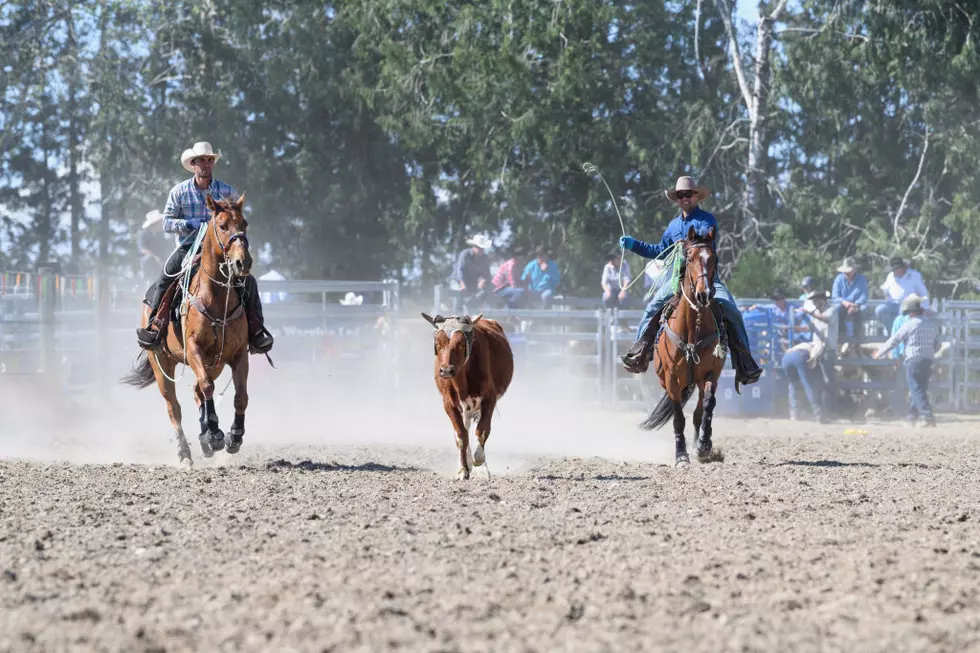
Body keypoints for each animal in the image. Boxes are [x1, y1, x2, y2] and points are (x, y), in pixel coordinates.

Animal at [123, 192, 253, 464]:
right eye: (222, 225)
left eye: (244, 224)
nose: (243, 262)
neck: (215, 297)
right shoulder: (194, 349)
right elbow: (206, 386)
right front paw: (214, 433)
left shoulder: (238, 354)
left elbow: (240, 396)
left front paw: (233, 437)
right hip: (161, 363)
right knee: (175, 406)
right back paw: (186, 452)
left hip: (215, 363)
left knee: (197, 392)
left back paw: (205, 439)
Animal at [420, 310, 512, 478]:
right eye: (438, 344)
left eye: (462, 343)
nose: (446, 370)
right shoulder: (449, 404)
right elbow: (461, 435)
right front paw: (463, 469)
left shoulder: (489, 400)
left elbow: (482, 431)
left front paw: (479, 461)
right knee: (465, 430)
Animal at [644, 227, 728, 466]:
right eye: (689, 258)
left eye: (713, 258)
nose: (704, 294)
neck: (692, 328)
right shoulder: (672, 379)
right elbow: (678, 417)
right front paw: (681, 455)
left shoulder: (711, 374)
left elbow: (707, 406)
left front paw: (704, 445)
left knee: (699, 412)